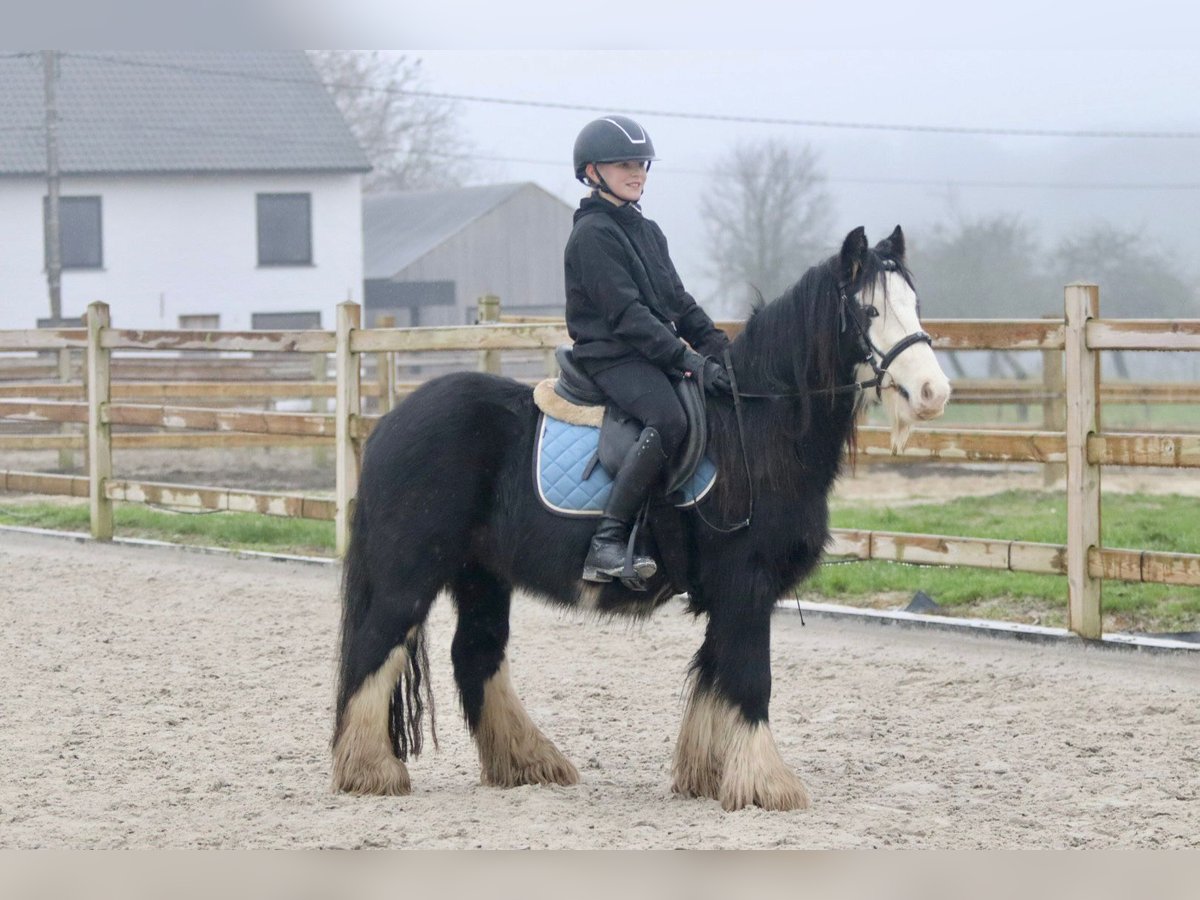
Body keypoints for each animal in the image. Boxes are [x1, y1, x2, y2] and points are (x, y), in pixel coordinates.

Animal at [333, 225, 950, 811]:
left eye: (915, 303)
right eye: (869, 311)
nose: (933, 392)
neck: (754, 428)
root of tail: (389, 423)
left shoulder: (728, 595)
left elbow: (715, 676)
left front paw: (708, 776)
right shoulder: (746, 583)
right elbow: (751, 680)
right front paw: (766, 786)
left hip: (481, 574)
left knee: (476, 656)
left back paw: (528, 762)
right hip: (409, 573)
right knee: (375, 649)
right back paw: (369, 770)